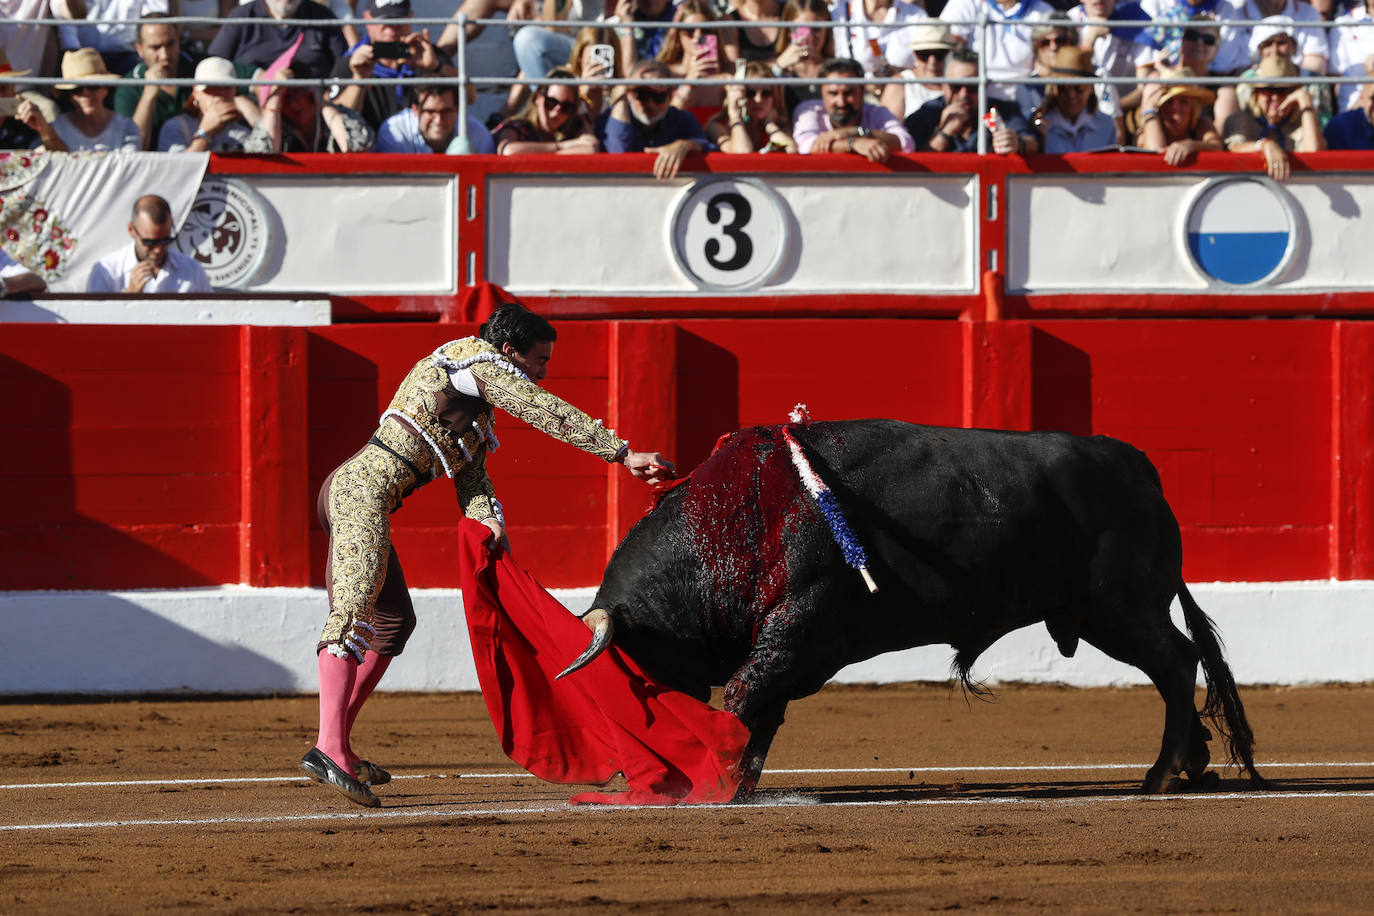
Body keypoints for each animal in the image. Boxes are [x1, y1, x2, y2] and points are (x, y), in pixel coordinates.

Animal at [563, 420, 1258, 796]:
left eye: (629, 672)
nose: (628, 772)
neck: (734, 522)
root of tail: (1135, 463)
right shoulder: (787, 645)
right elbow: (762, 714)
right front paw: (738, 785)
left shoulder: (793, 632)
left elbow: (741, 698)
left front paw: (713, 784)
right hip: (1104, 616)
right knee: (1177, 664)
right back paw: (1191, 765)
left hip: (1122, 608)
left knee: (1176, 663)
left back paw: (1162, 774)